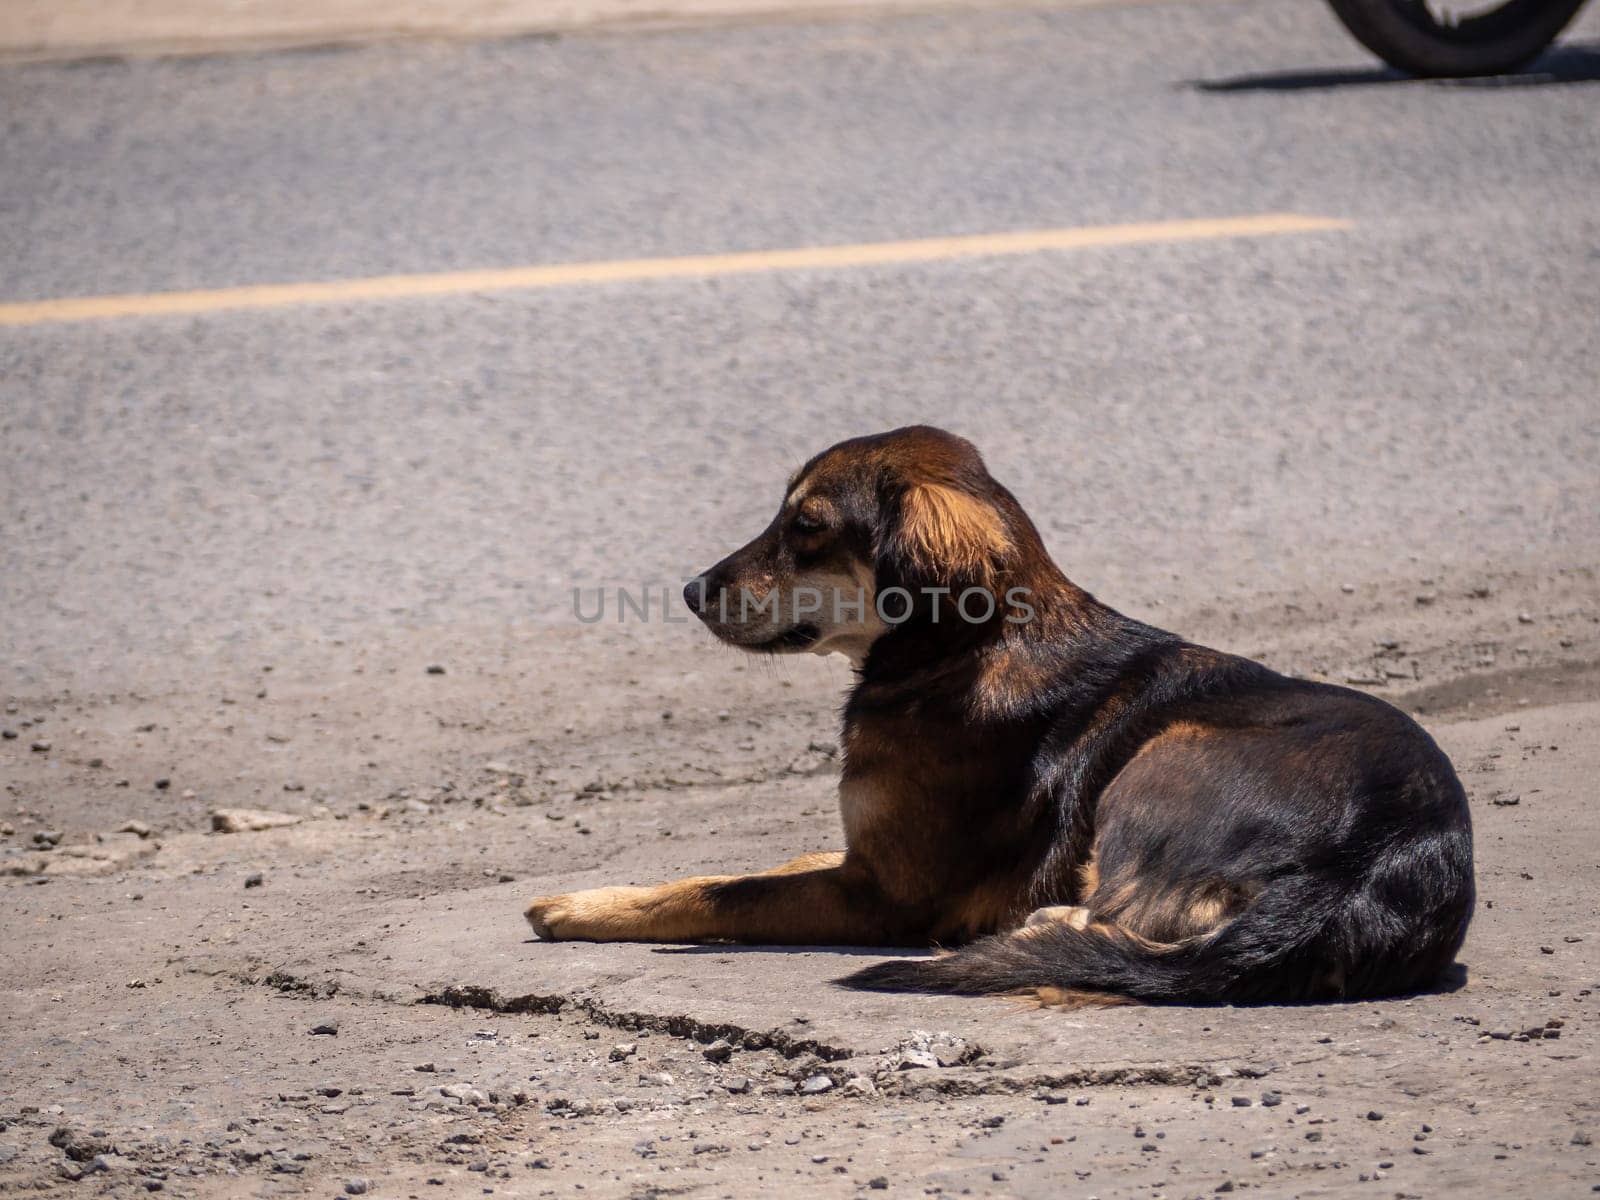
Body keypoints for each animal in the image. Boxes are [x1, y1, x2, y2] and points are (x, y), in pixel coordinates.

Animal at [528, 428, 1472, 1011]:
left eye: (806, 525)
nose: (691, 591)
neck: (961, 648)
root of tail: (1367, 861)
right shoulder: (866, 857)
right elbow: (773, 862)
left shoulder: (883, 897)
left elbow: (719, 891)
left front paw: (585, 907)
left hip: (1169, 753)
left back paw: (1044, 928)